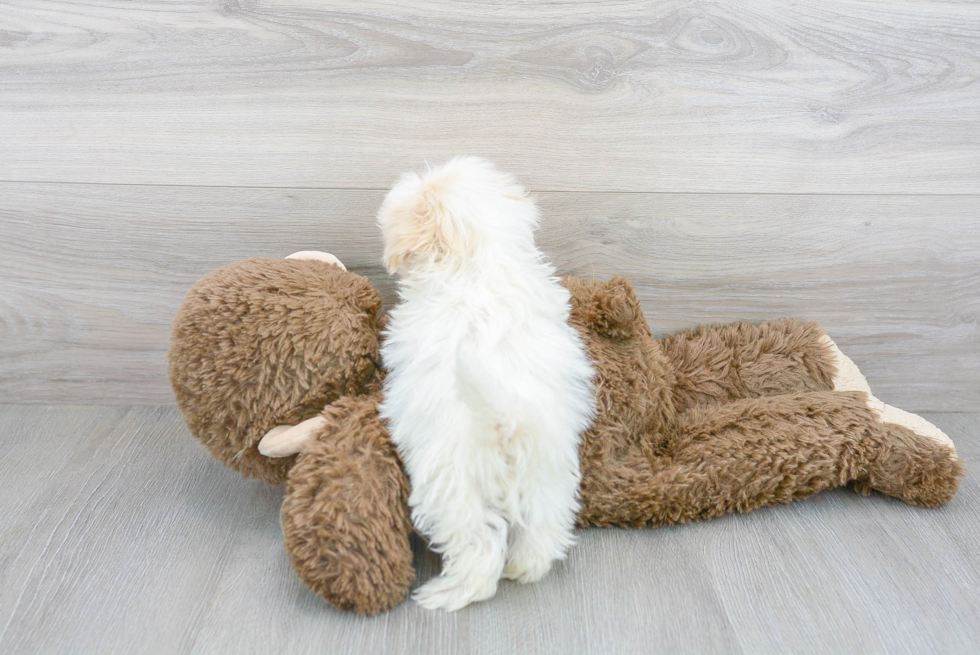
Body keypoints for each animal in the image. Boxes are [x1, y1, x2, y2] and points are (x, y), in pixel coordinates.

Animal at [378, 156, 596, 612]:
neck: (476, 261)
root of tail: (505, 424)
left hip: (451, 489)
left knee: (478, 548)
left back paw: (445, 592)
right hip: (549, 476)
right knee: (541, 532)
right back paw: (524, 568)